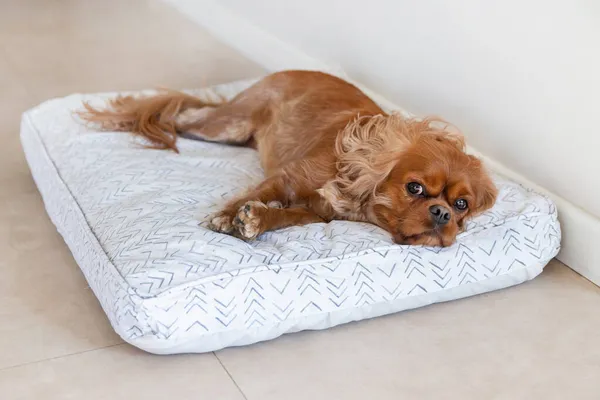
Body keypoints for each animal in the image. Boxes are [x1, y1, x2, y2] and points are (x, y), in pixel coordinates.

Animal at [76, 72, 496, 247]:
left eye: (461, 205)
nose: (442, 214)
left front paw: (254, 221)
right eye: (415, 188)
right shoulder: (287, 178)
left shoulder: (314, 214)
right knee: (181, 114)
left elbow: (282, 216)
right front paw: (226, 217)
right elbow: (256, 193)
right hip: (226, 124)